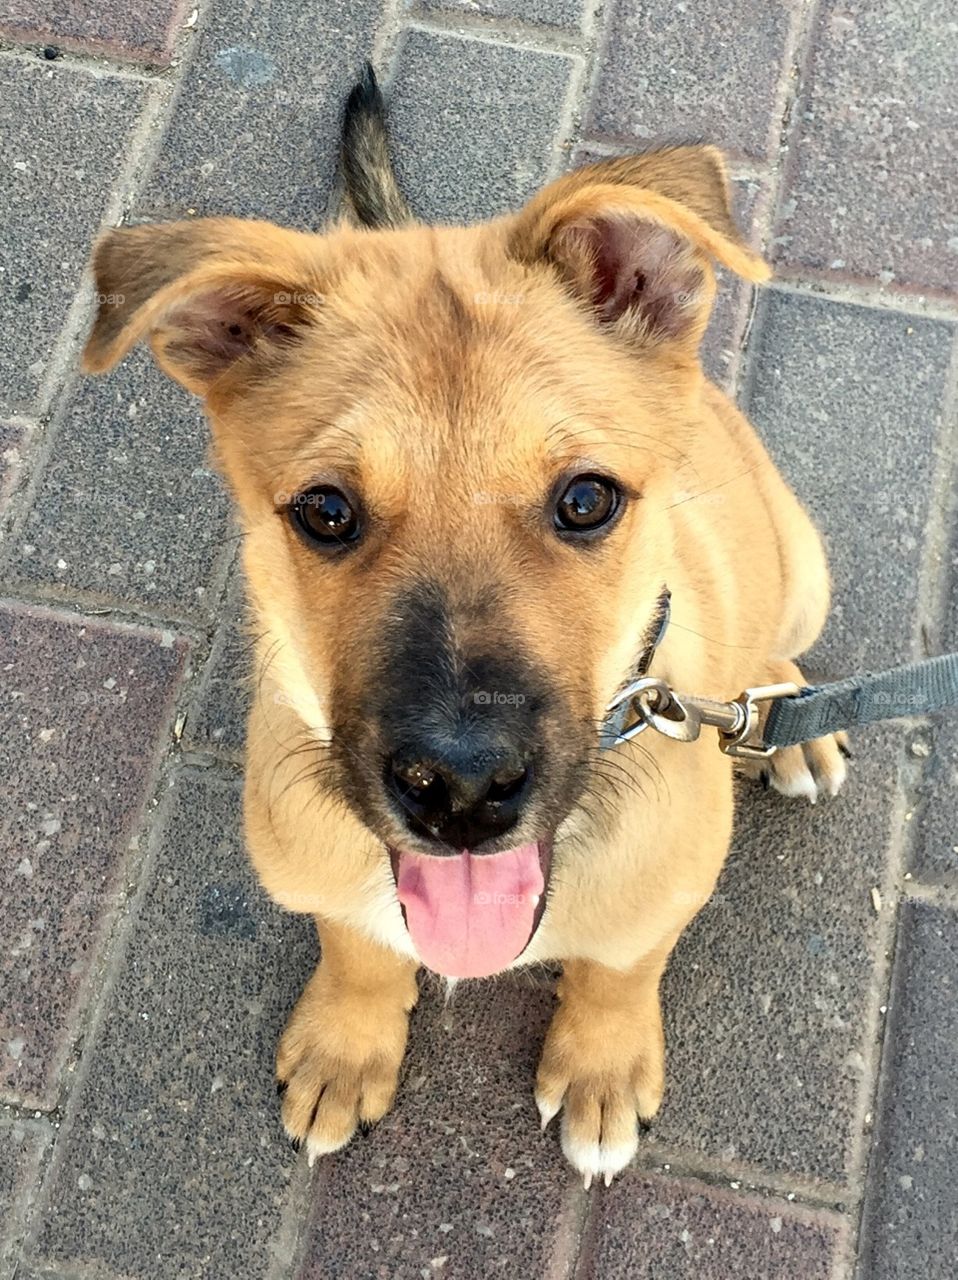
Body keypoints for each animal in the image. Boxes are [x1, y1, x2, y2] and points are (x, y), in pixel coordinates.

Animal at [82, 64, 845, 1182]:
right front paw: (346, 1044)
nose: (464, 792)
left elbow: (619, 968)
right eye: (325, 511)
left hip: (800, 563)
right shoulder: (321, 874)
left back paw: (795, 720)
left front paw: (603, 1066)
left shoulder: (660, 893)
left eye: (586, 500)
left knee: (777, 655)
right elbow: (356, 946)